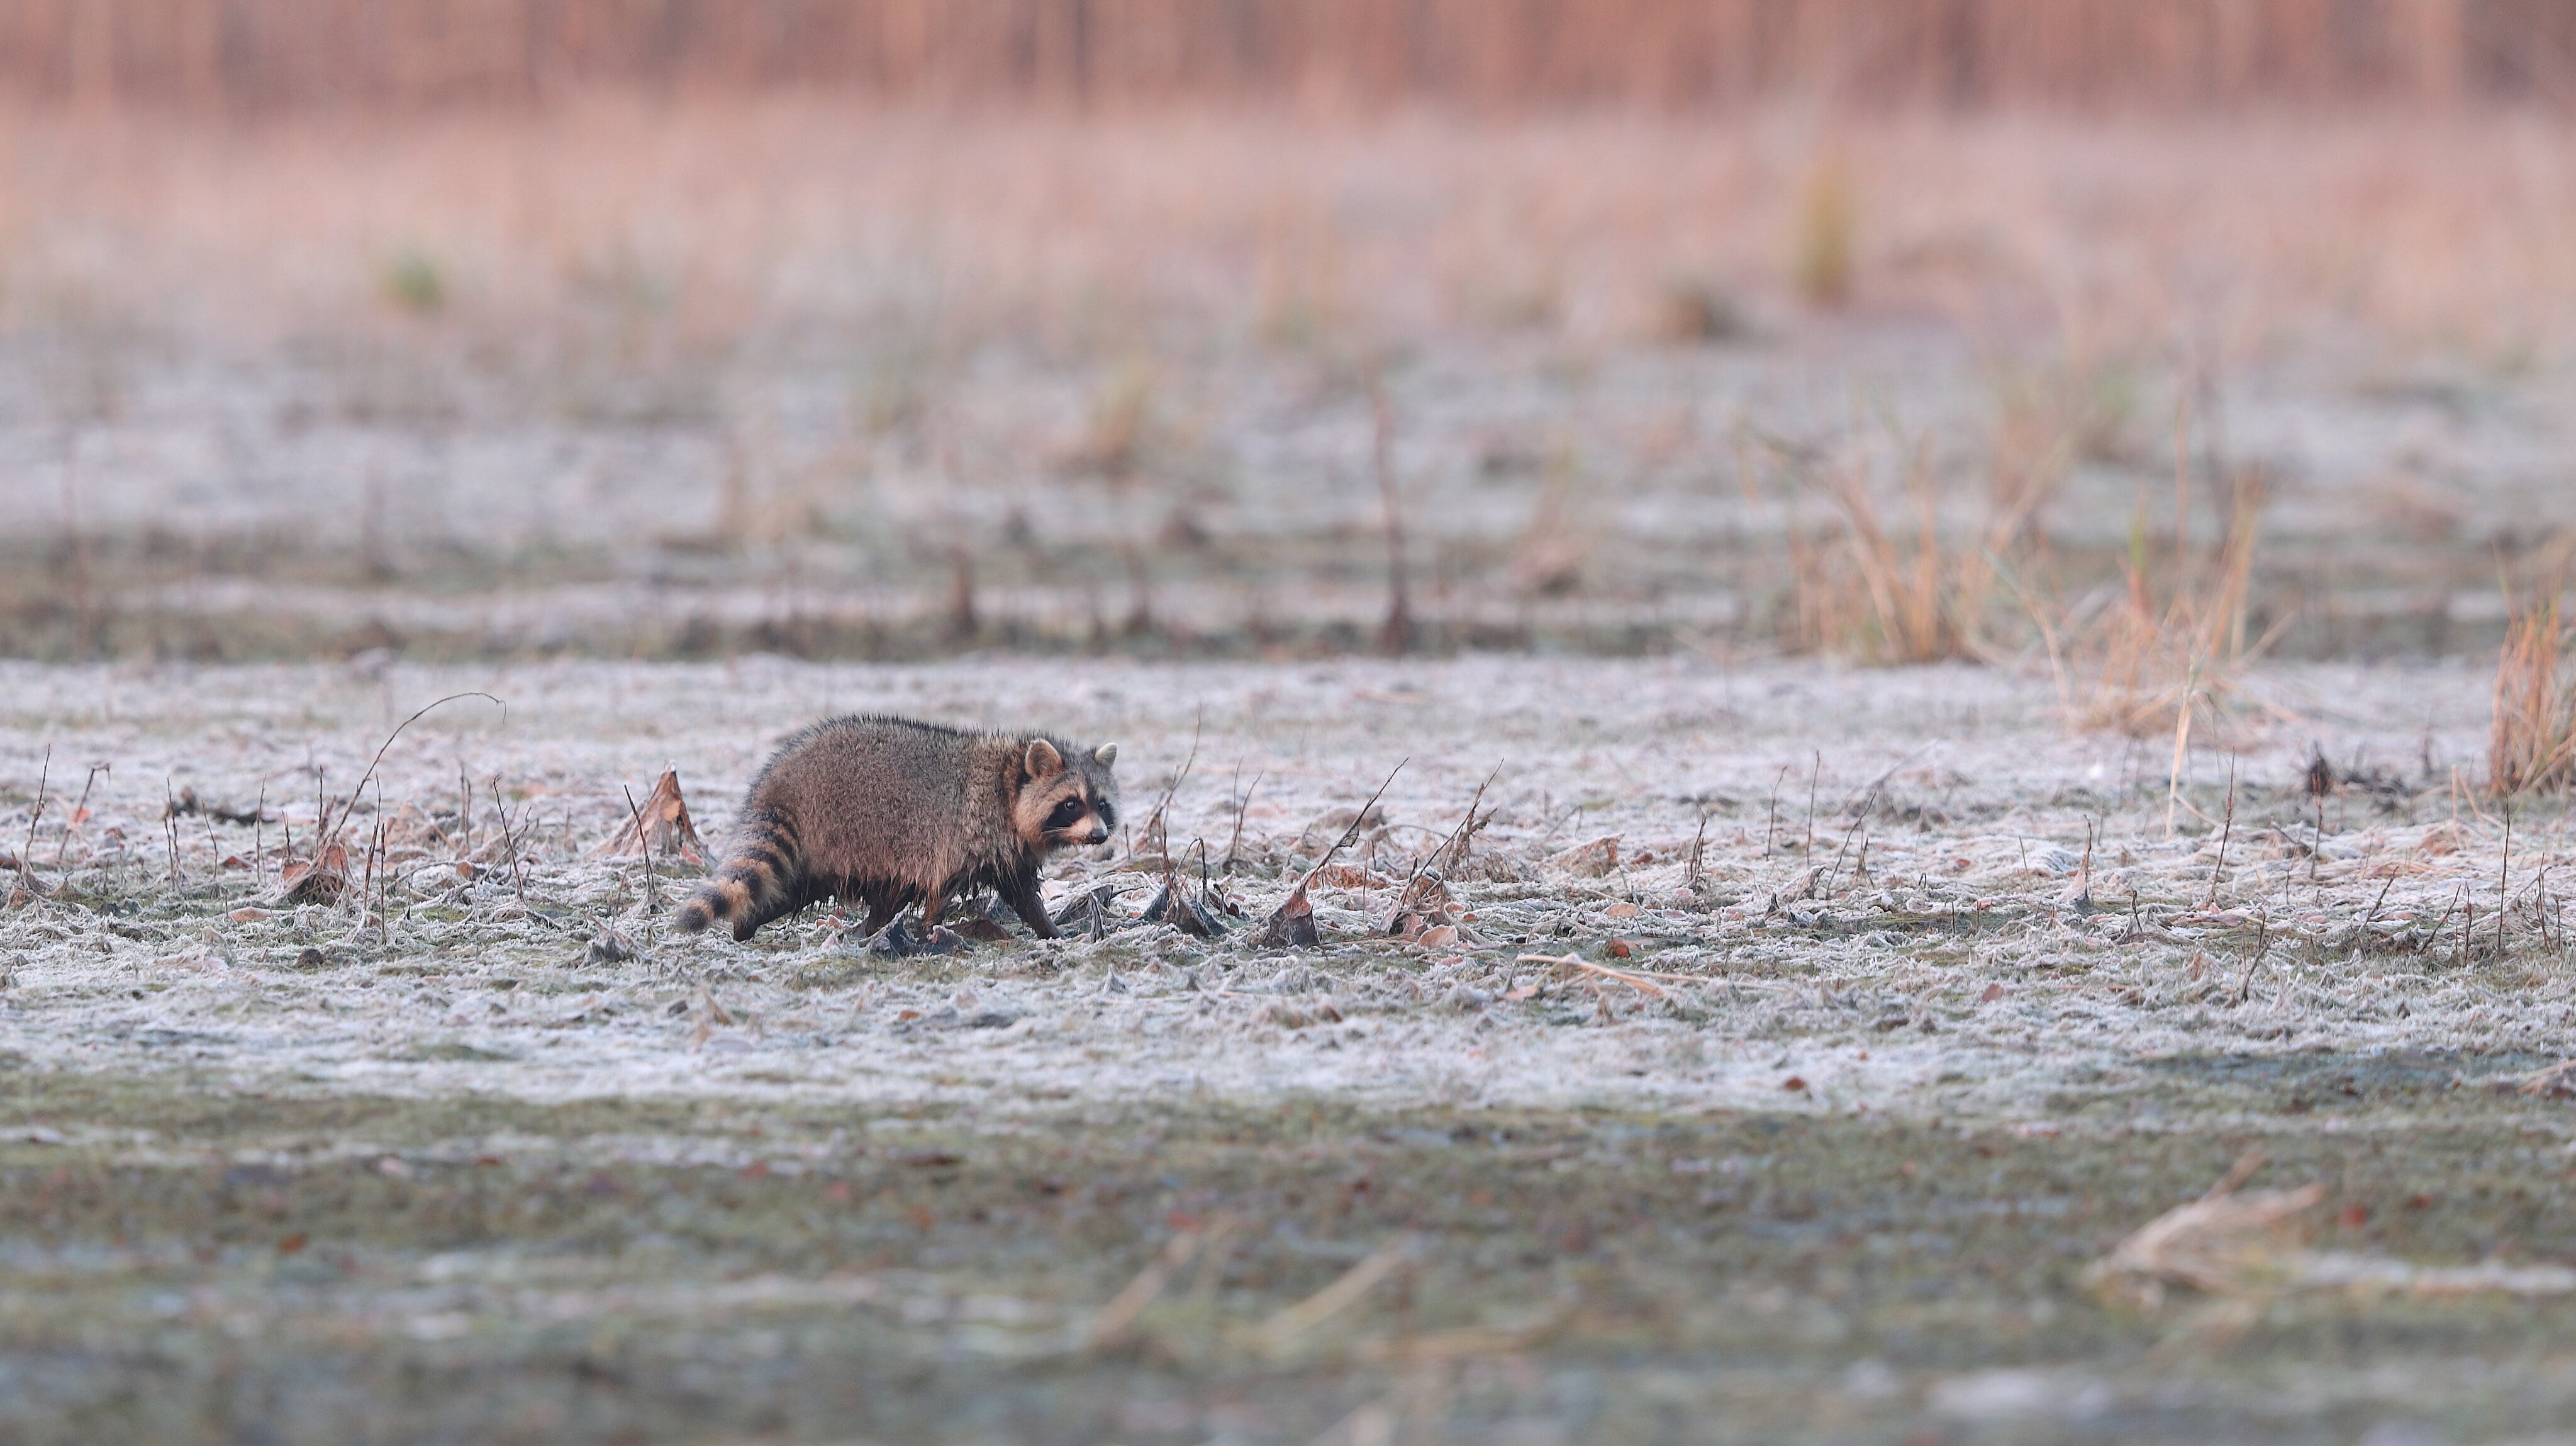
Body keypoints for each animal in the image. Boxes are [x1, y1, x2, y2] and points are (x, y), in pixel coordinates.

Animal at [680, 716, 1123, 943]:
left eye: (1101, 804)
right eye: (1071, 804)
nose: (1100, 836)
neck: (1008, 782)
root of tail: (779, 786)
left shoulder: (1007, 853)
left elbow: (1022, 894)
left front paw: (1050, 930)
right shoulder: (965, 834)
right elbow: (941, 887)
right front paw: (930, 930)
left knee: (797, 888)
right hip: (844, 831)